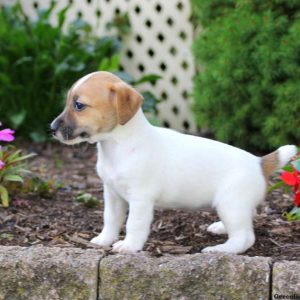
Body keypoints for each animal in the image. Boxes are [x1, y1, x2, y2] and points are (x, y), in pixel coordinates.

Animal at [50, 71, 296, 254]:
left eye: (79, 105)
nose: (51, 129)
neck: (118, 145)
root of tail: (258, 162)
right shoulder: (112, 194)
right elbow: (110, 219)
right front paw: (103, 240)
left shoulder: (140, 199)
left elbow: (134, 224)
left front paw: (129, 246)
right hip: (234, 206)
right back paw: (220, 228)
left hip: (231, 204)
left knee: (245, 237)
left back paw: (220, 249)